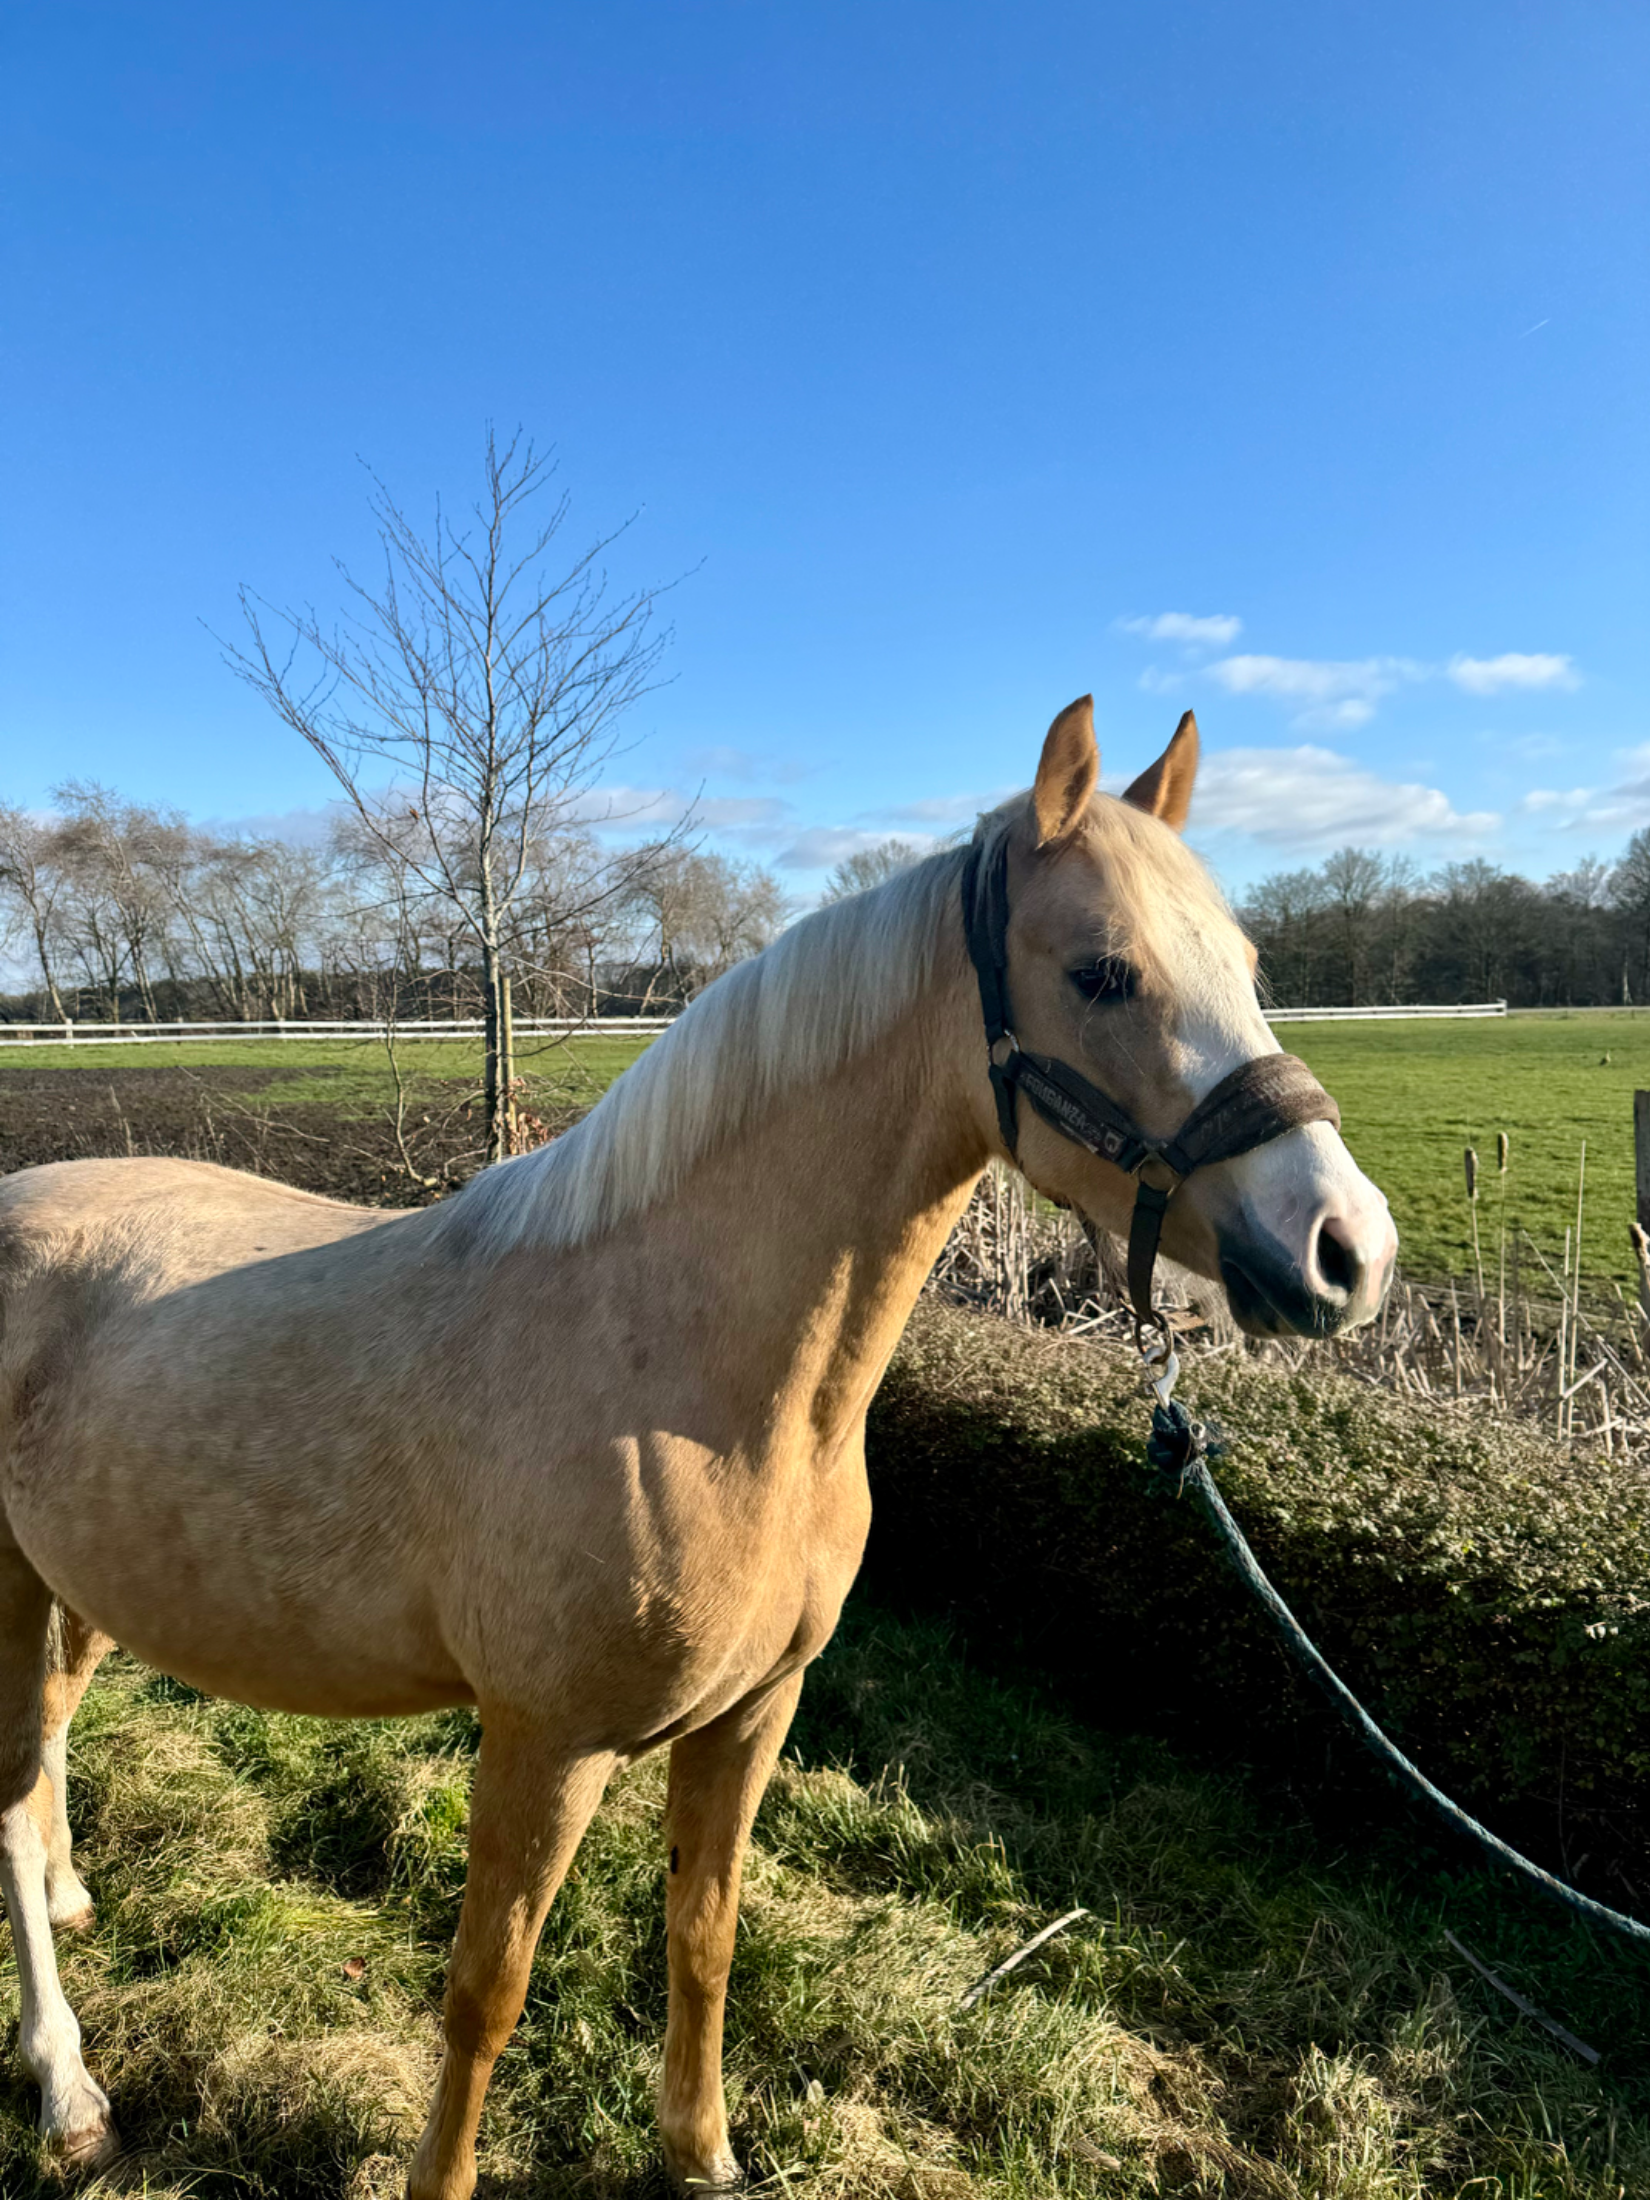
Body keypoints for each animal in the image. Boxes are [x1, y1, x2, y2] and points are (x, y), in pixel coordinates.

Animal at [0, 698, 1396, 2197]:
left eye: (1245, 966)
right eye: (1100, 971)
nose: (1346, 1251)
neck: (694, 1380)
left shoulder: (750, 1714)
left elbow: (703, 1935)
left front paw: (700, 2150)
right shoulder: (542, 1744)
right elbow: (486, 1992)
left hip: (82, 1584)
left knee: (52, 1754)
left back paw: (77, 1906)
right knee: (11, 1806)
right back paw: (67, 2089)